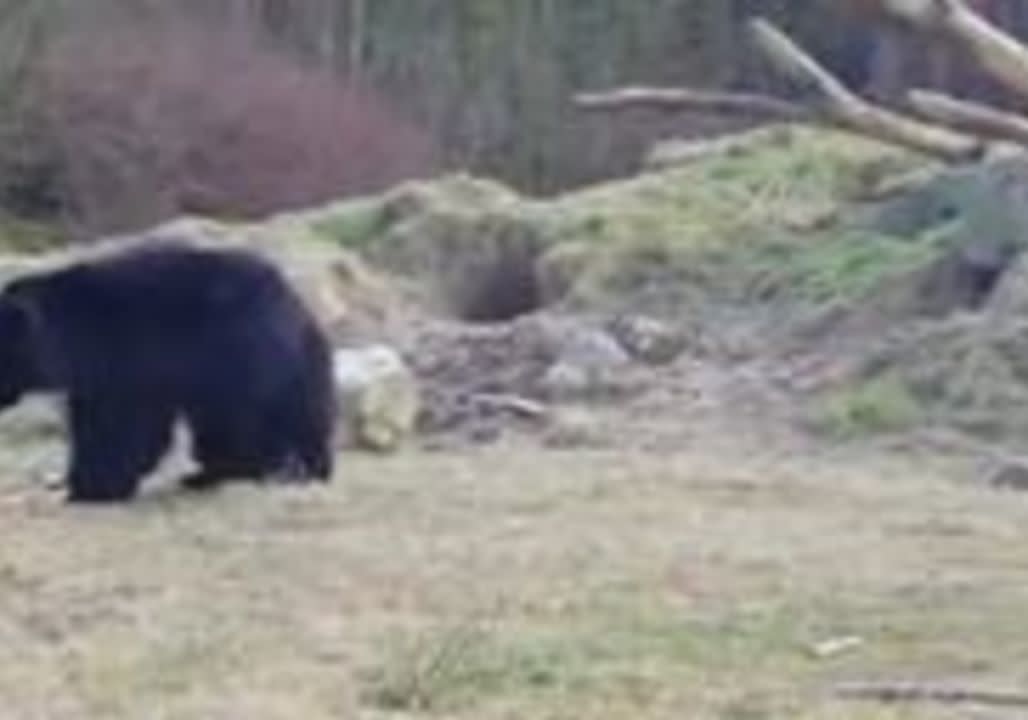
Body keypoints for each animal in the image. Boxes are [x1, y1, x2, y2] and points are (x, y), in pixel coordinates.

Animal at [0, 240, 335, 499]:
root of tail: (300, 309)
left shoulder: (130, 355)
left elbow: (119, 424)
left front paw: (88, 488)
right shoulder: (98, 374)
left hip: (240, 353)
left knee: (241, 422)